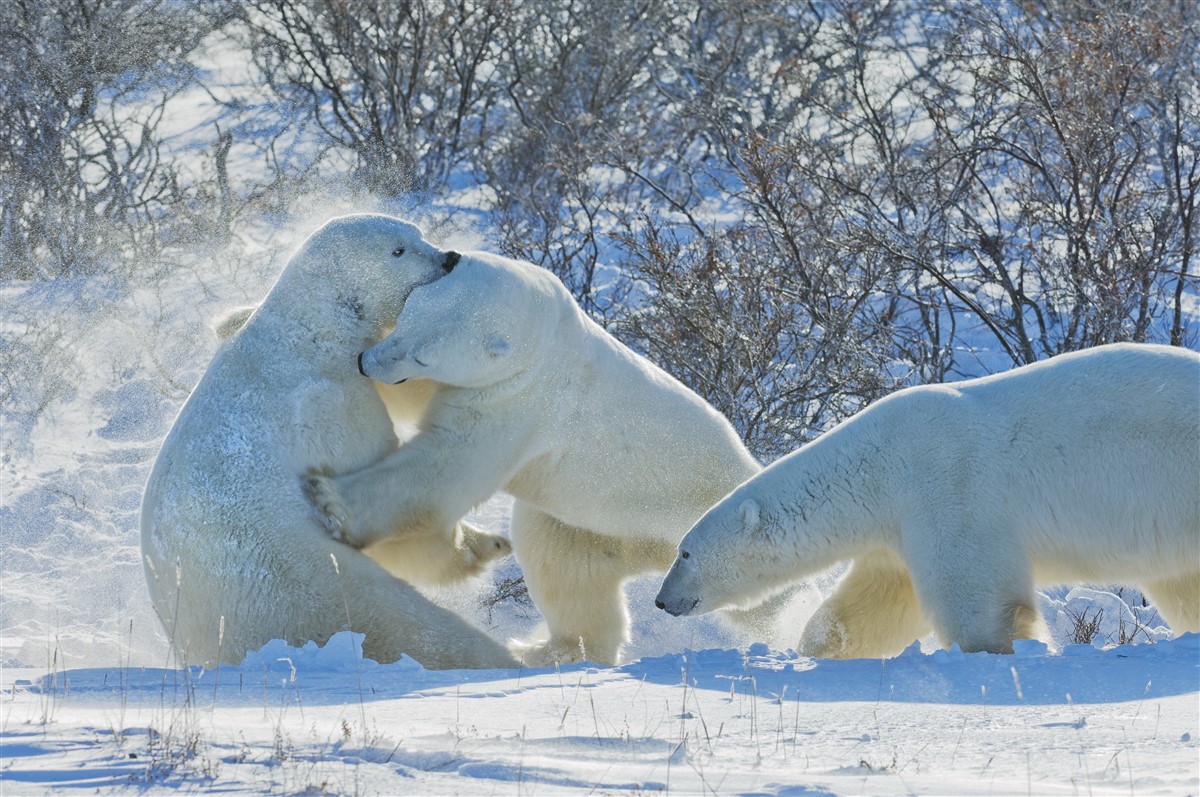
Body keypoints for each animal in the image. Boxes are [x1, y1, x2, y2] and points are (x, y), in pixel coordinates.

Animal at [140, 214, 516, 667]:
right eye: (398, 250)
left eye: (417, 233)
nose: (449, 258)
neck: (311, 326)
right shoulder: (325, 394)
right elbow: (373, 468)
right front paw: (481, 545)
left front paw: (490, 541)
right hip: (292, 580)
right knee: (395, 621)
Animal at [304, 252, 763, 662]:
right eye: (404, 318)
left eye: (423, 355)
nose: (365, 362)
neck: (545, 337)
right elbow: (415, 399)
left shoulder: (522, 399)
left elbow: (446, 465)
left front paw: (332, 501)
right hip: (593, 525)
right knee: (564, 569)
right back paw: (552, 650)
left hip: (699, 528)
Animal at [657, 345, 1200, 657]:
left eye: (685, 552)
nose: (663, 601)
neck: (878, 465)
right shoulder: (895, 529)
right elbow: (874, 605)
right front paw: (818, 648)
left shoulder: (948, 490)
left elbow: (975, 600)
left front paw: (1004, 650)